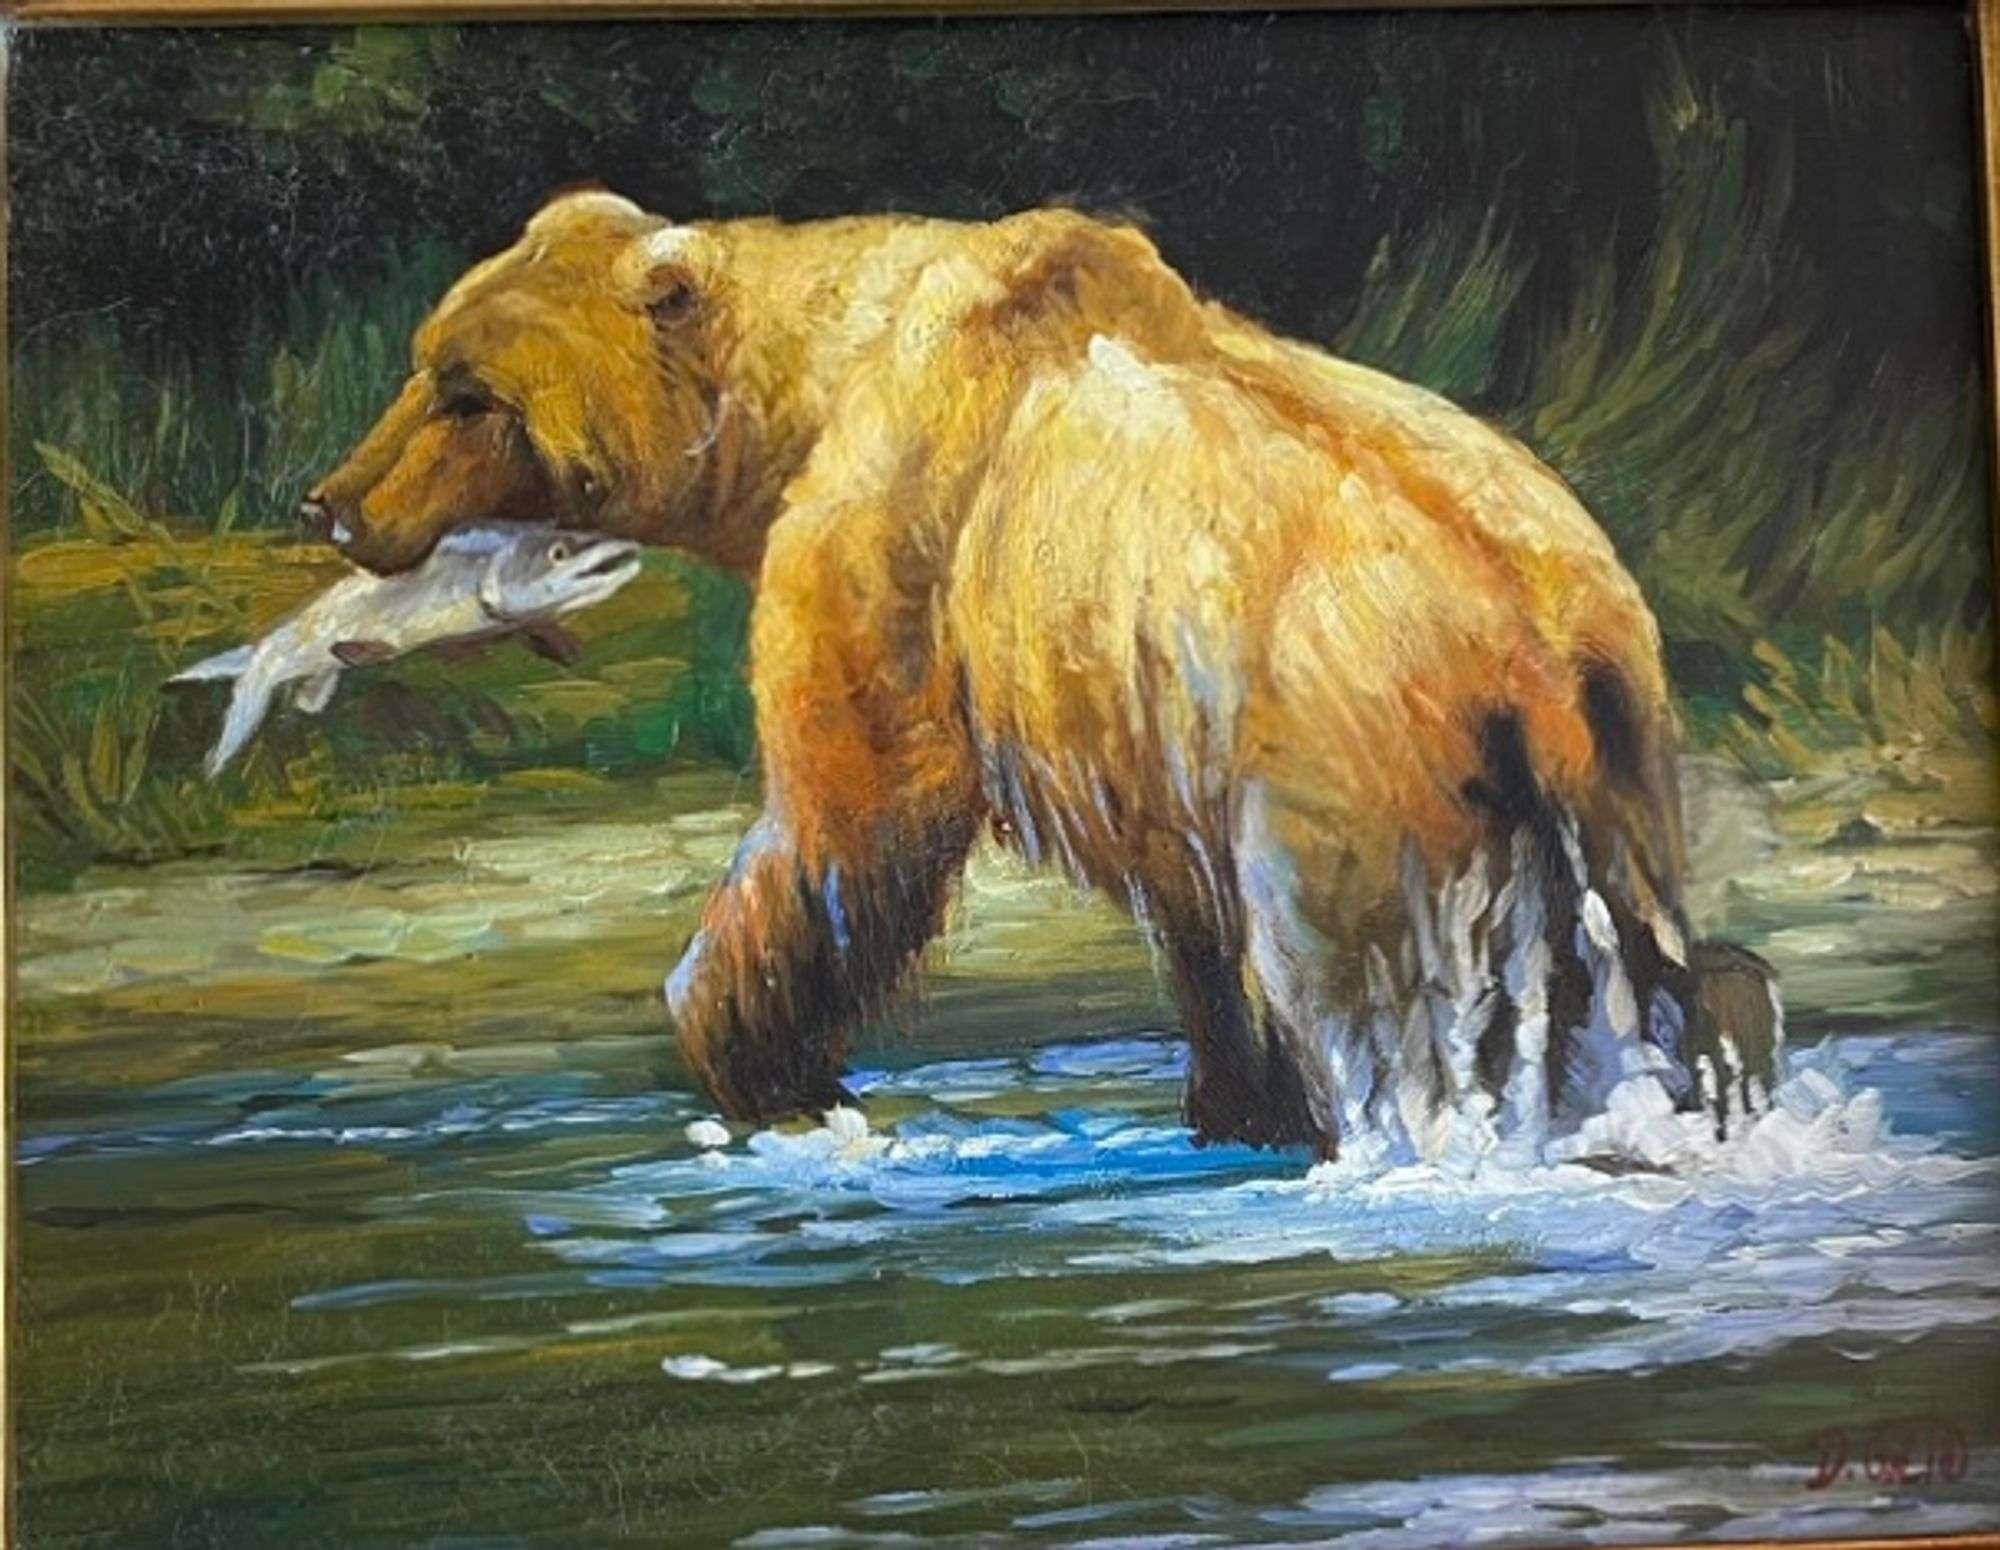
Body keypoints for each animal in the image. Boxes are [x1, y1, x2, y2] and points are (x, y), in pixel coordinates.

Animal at [305, 189, 1780, 1160]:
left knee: (1367, 990)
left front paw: (747, 1050)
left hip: (1362, 758)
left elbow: (852, 812)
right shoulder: (1142, 715)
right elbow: (1192, 933)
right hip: (1619, 736)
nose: (330, 501)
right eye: (426, 358)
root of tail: (1536, 629)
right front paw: (1230, 1105)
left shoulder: (895, 531)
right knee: (1672, 959)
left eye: (468, 392)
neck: (809, 389)